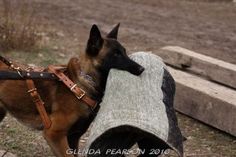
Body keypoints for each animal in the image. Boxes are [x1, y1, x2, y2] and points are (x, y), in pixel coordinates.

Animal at [0, 23, 144, 157]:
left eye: (124, 51)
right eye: (116, 54)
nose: (142, 69)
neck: (82, 84)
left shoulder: (74, 137)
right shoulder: (54, 134)